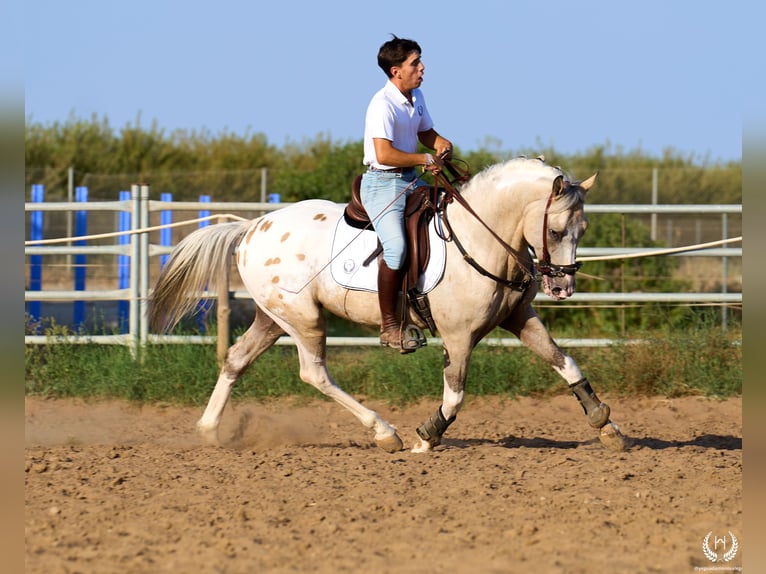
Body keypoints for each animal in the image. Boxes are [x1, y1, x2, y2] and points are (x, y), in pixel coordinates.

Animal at [148, 156, 626, 453]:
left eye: (583, 229)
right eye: (557, 231)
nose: (563, 287)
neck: (481, 237)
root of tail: (251, 227)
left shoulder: (519, 317)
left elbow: (566, 363)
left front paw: (607, 425)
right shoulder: (459, 335)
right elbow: (455, 394)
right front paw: (426, 437)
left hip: (273, 318)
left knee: (236, 360)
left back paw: (209, 430)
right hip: (304, 320)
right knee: (314, 373)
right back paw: (385, 432)